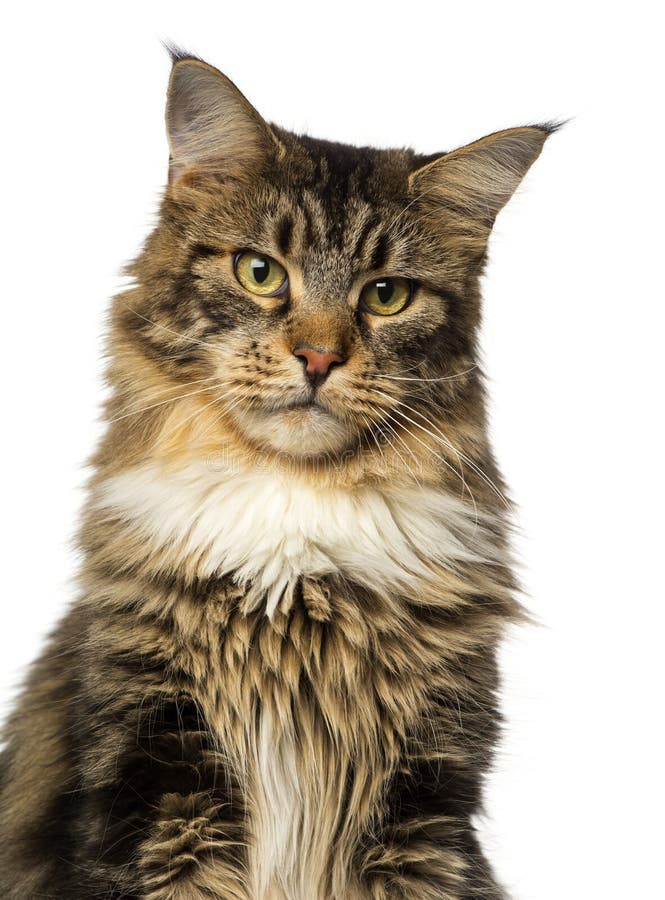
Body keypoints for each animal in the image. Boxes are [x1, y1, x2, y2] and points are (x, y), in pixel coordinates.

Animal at [0, 49, 552, 900]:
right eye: (260, 272)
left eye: (385, 296)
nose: (319, 358)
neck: (295, 531)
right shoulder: (154, 774)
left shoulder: (426, 795)